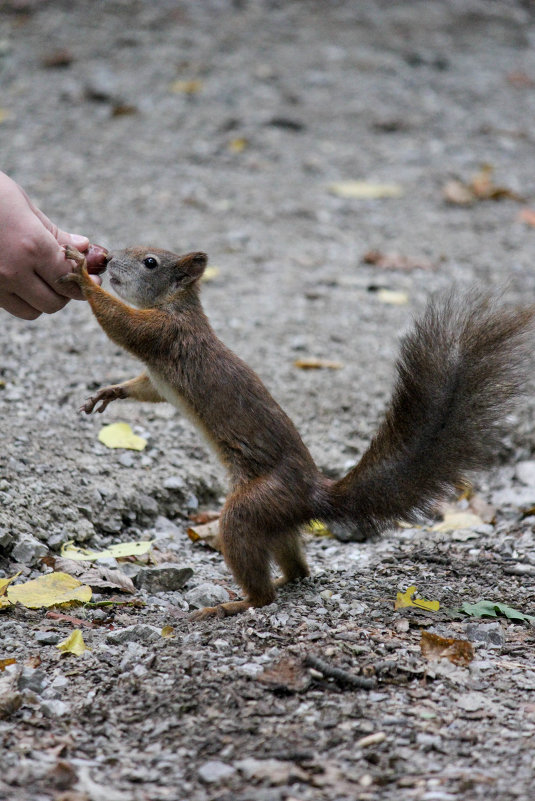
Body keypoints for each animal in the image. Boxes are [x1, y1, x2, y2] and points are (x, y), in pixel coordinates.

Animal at [59, 244, 535, 620]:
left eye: (150, 262)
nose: (107, 262)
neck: (175, 305)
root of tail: (312, 495)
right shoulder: (157, 379)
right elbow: (142, 387)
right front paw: (110, 391)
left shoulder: (164, 335)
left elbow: (122, 324)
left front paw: (81, 276)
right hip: (275, 522)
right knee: (296, 566)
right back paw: (288, 582)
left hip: (252, 507)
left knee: (260, 585)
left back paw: (238, 603)